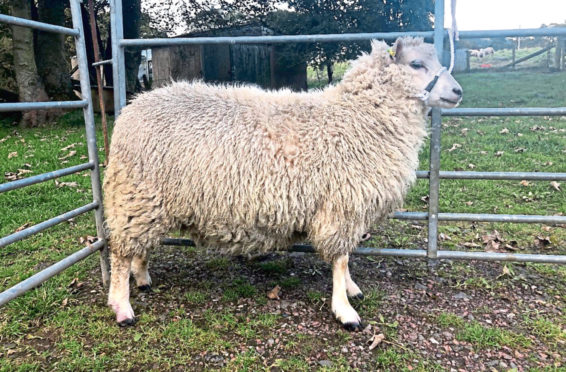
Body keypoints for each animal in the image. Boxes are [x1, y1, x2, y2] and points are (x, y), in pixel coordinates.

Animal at [104, 36, 464, 330]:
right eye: (416, 64)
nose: (458, 91)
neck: (358, 117)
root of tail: (132, 107)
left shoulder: (350, 208)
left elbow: (346, 256)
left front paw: (351, 290)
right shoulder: (340, 205)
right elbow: (340, 259)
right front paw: (345, 311)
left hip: (148, 202)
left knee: (137, 247)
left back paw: (143, 278)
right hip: (135, 194)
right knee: (120, 253)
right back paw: (122, 307)